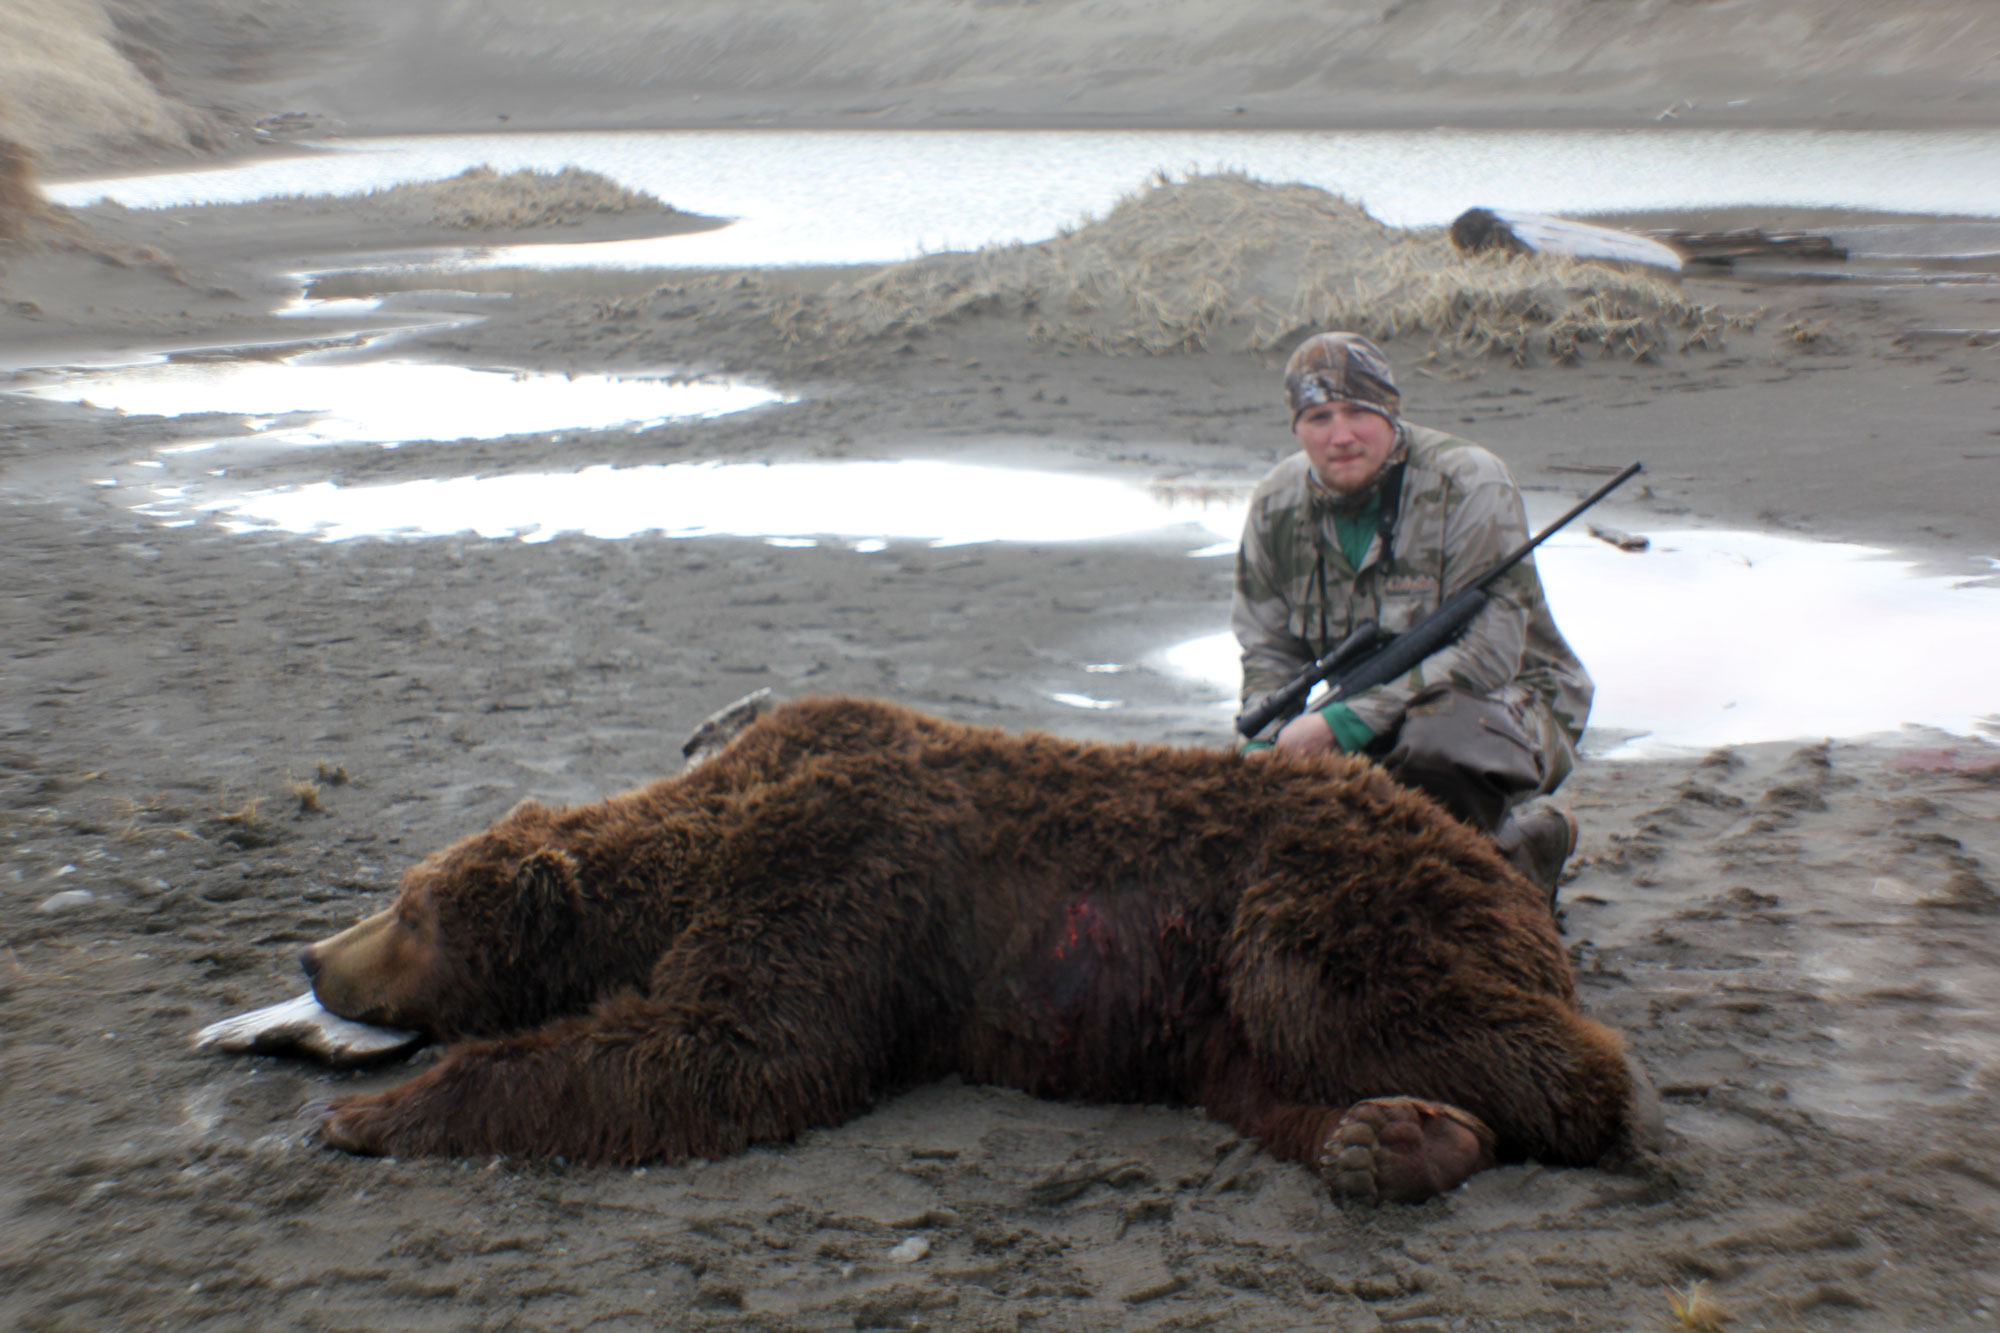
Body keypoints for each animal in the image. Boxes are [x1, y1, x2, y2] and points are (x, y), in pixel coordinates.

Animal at [301, 696, 1658, 1204]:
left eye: (412, 912)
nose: (316, 952)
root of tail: (1478, 853)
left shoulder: (837, 870)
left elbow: (733, 1047)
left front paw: (375, 1111)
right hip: (1201, 1009)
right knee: (1265, 1077)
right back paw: (1392, 1136)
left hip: (1310, 897)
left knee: (1377, 1001)